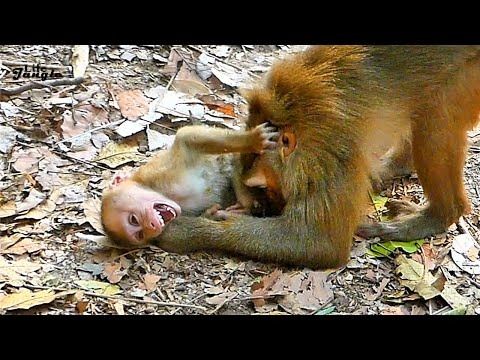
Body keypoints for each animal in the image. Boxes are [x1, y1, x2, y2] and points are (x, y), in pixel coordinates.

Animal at [101, 124, 282, 248]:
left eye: (133, 219)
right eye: (140, 234)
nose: (152, 225)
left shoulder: (155, 173)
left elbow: (186, 138)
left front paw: (253, 139)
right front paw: (210, 216)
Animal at [153, 45, 480, 270]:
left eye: (266, 186)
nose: (270, 209)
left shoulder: (328, 154)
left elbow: (319, 243)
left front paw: (193, 230)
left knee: (434, 123)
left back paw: (440, 214)